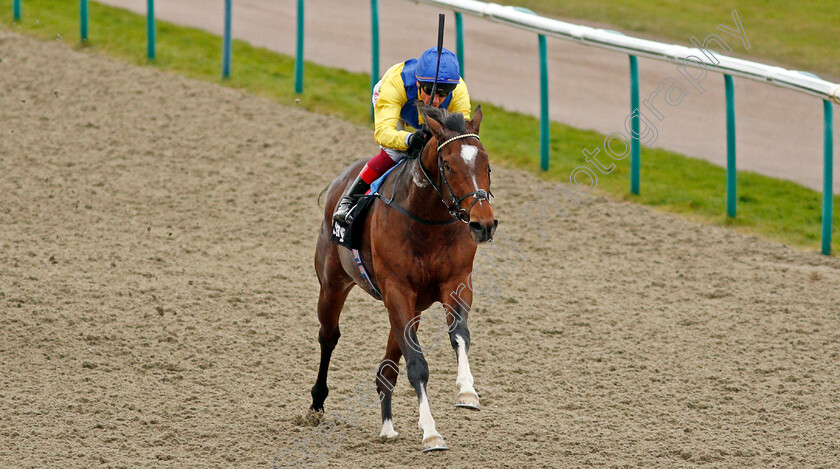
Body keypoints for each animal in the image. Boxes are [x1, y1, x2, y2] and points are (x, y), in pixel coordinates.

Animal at [310, 105, 496, 450]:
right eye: (447, 166)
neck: (427, 220)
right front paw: (431, 432)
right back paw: (316, 403)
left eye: (486, 163)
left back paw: (387, 426)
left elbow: (459, 335)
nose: (484, 224)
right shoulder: (397, 290)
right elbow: (417, 365)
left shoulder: (456, 283)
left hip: (414, 308)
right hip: (332, 284)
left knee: (387, 368)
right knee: (328, 336)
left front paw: (467, 391)